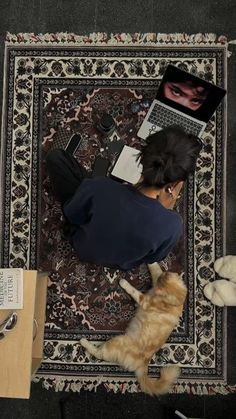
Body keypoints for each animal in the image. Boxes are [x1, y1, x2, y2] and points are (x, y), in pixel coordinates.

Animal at [80, 262, 187, 398]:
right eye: (161, 278)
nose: (160, 278)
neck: (174, 303)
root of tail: (143, 365)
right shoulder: (156, 278)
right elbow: (155, 269)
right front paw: (151, 260)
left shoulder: (144, 300)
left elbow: (134, 291)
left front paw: (124, 282)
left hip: (115, 342)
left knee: (99, 353)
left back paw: (84, 341)